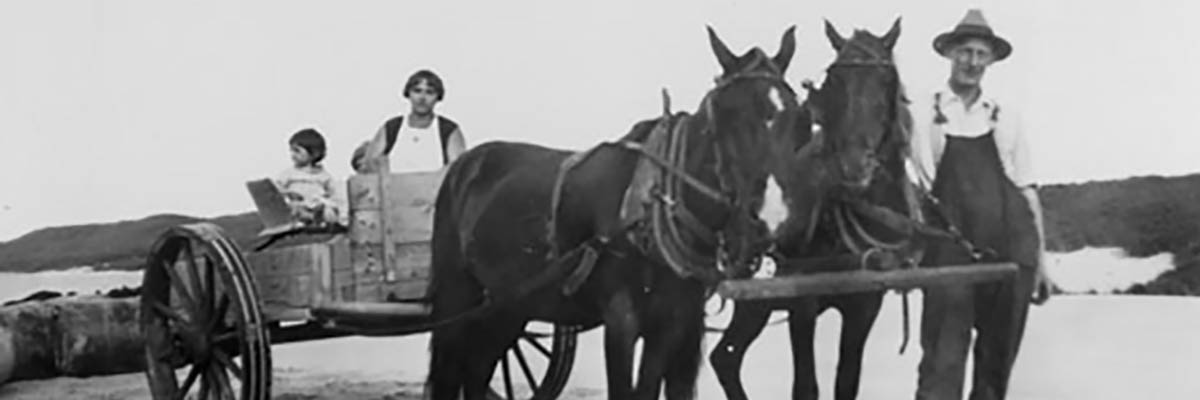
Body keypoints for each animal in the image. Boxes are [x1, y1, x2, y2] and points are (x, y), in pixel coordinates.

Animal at [427, 26, 801, 396]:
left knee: (477, 369)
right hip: (459, 297)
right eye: (728, 114)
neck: (650, 207)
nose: (771, 218)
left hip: (508, 304)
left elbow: (648, 386)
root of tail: (464, 165)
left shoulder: (671, 322)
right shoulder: (621, 320)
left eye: (796, 114)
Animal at [710, 18, 926, 398]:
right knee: (725, 357)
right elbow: (806, 387)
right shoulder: (802, 303)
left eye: (886, 80)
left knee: (725, 357)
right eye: (835, 82)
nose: (855, 164)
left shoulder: (864, 306)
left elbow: (847, 381)